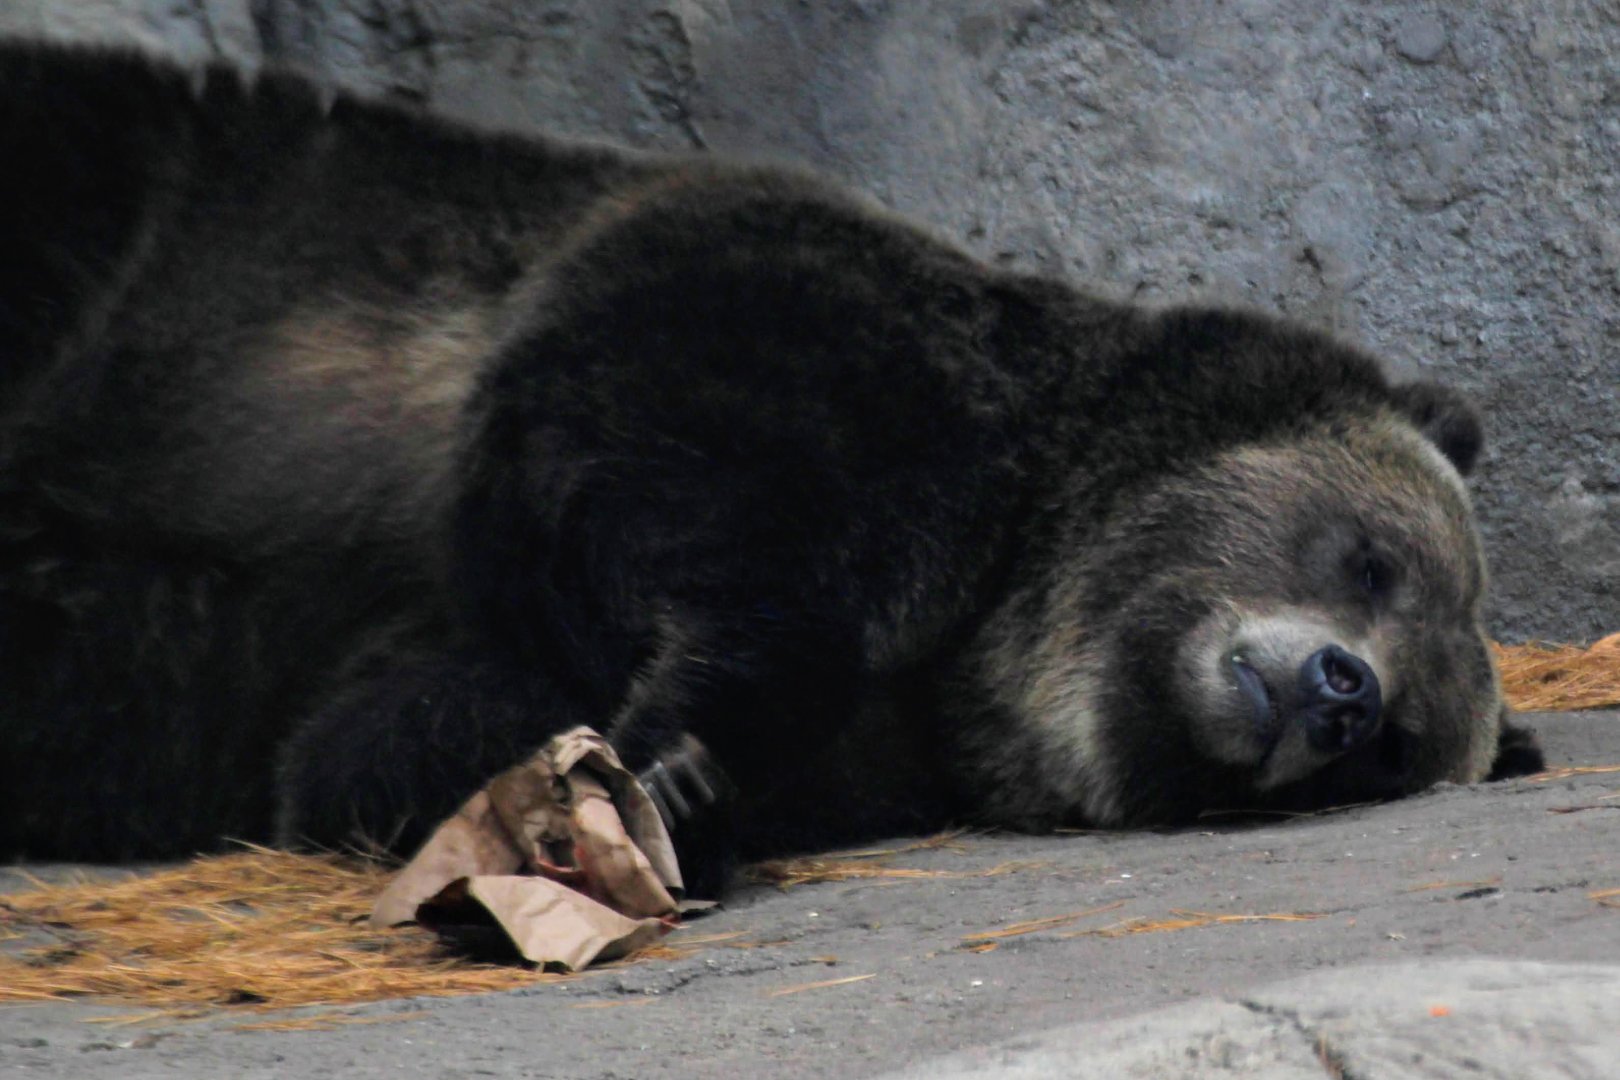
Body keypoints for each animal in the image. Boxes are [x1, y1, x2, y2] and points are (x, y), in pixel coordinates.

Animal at [0, 41, 1542, 897]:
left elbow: (365, 739)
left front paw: (659, 788)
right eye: (1371, 558)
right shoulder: (788, 324)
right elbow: (698, 489)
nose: (1340, 694)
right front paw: (679, 755)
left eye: (1397, 745)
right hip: (155, 217)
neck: (996, 615)